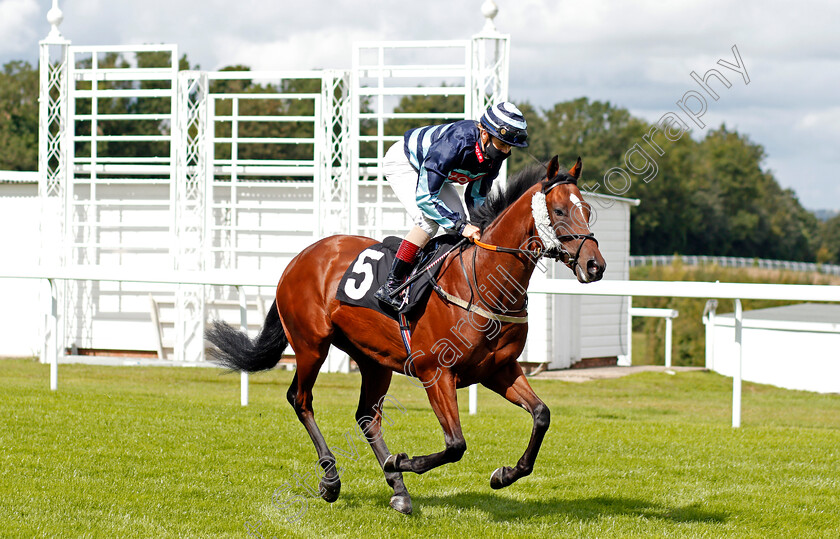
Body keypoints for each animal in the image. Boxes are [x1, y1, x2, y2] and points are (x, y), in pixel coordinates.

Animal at [208, 155, 608, 516]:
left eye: (587, 209)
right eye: (559, 211)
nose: (595, 266)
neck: (482, 279)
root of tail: (299, 258)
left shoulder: (499, 370)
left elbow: (541, 415)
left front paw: (504, 474)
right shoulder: (436, 372)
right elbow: (455, 444)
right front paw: (401, 462)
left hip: (373, 359)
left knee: (367, 417)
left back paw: (398, 491)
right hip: (311, 345)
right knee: (301, 399)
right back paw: (332, 479)